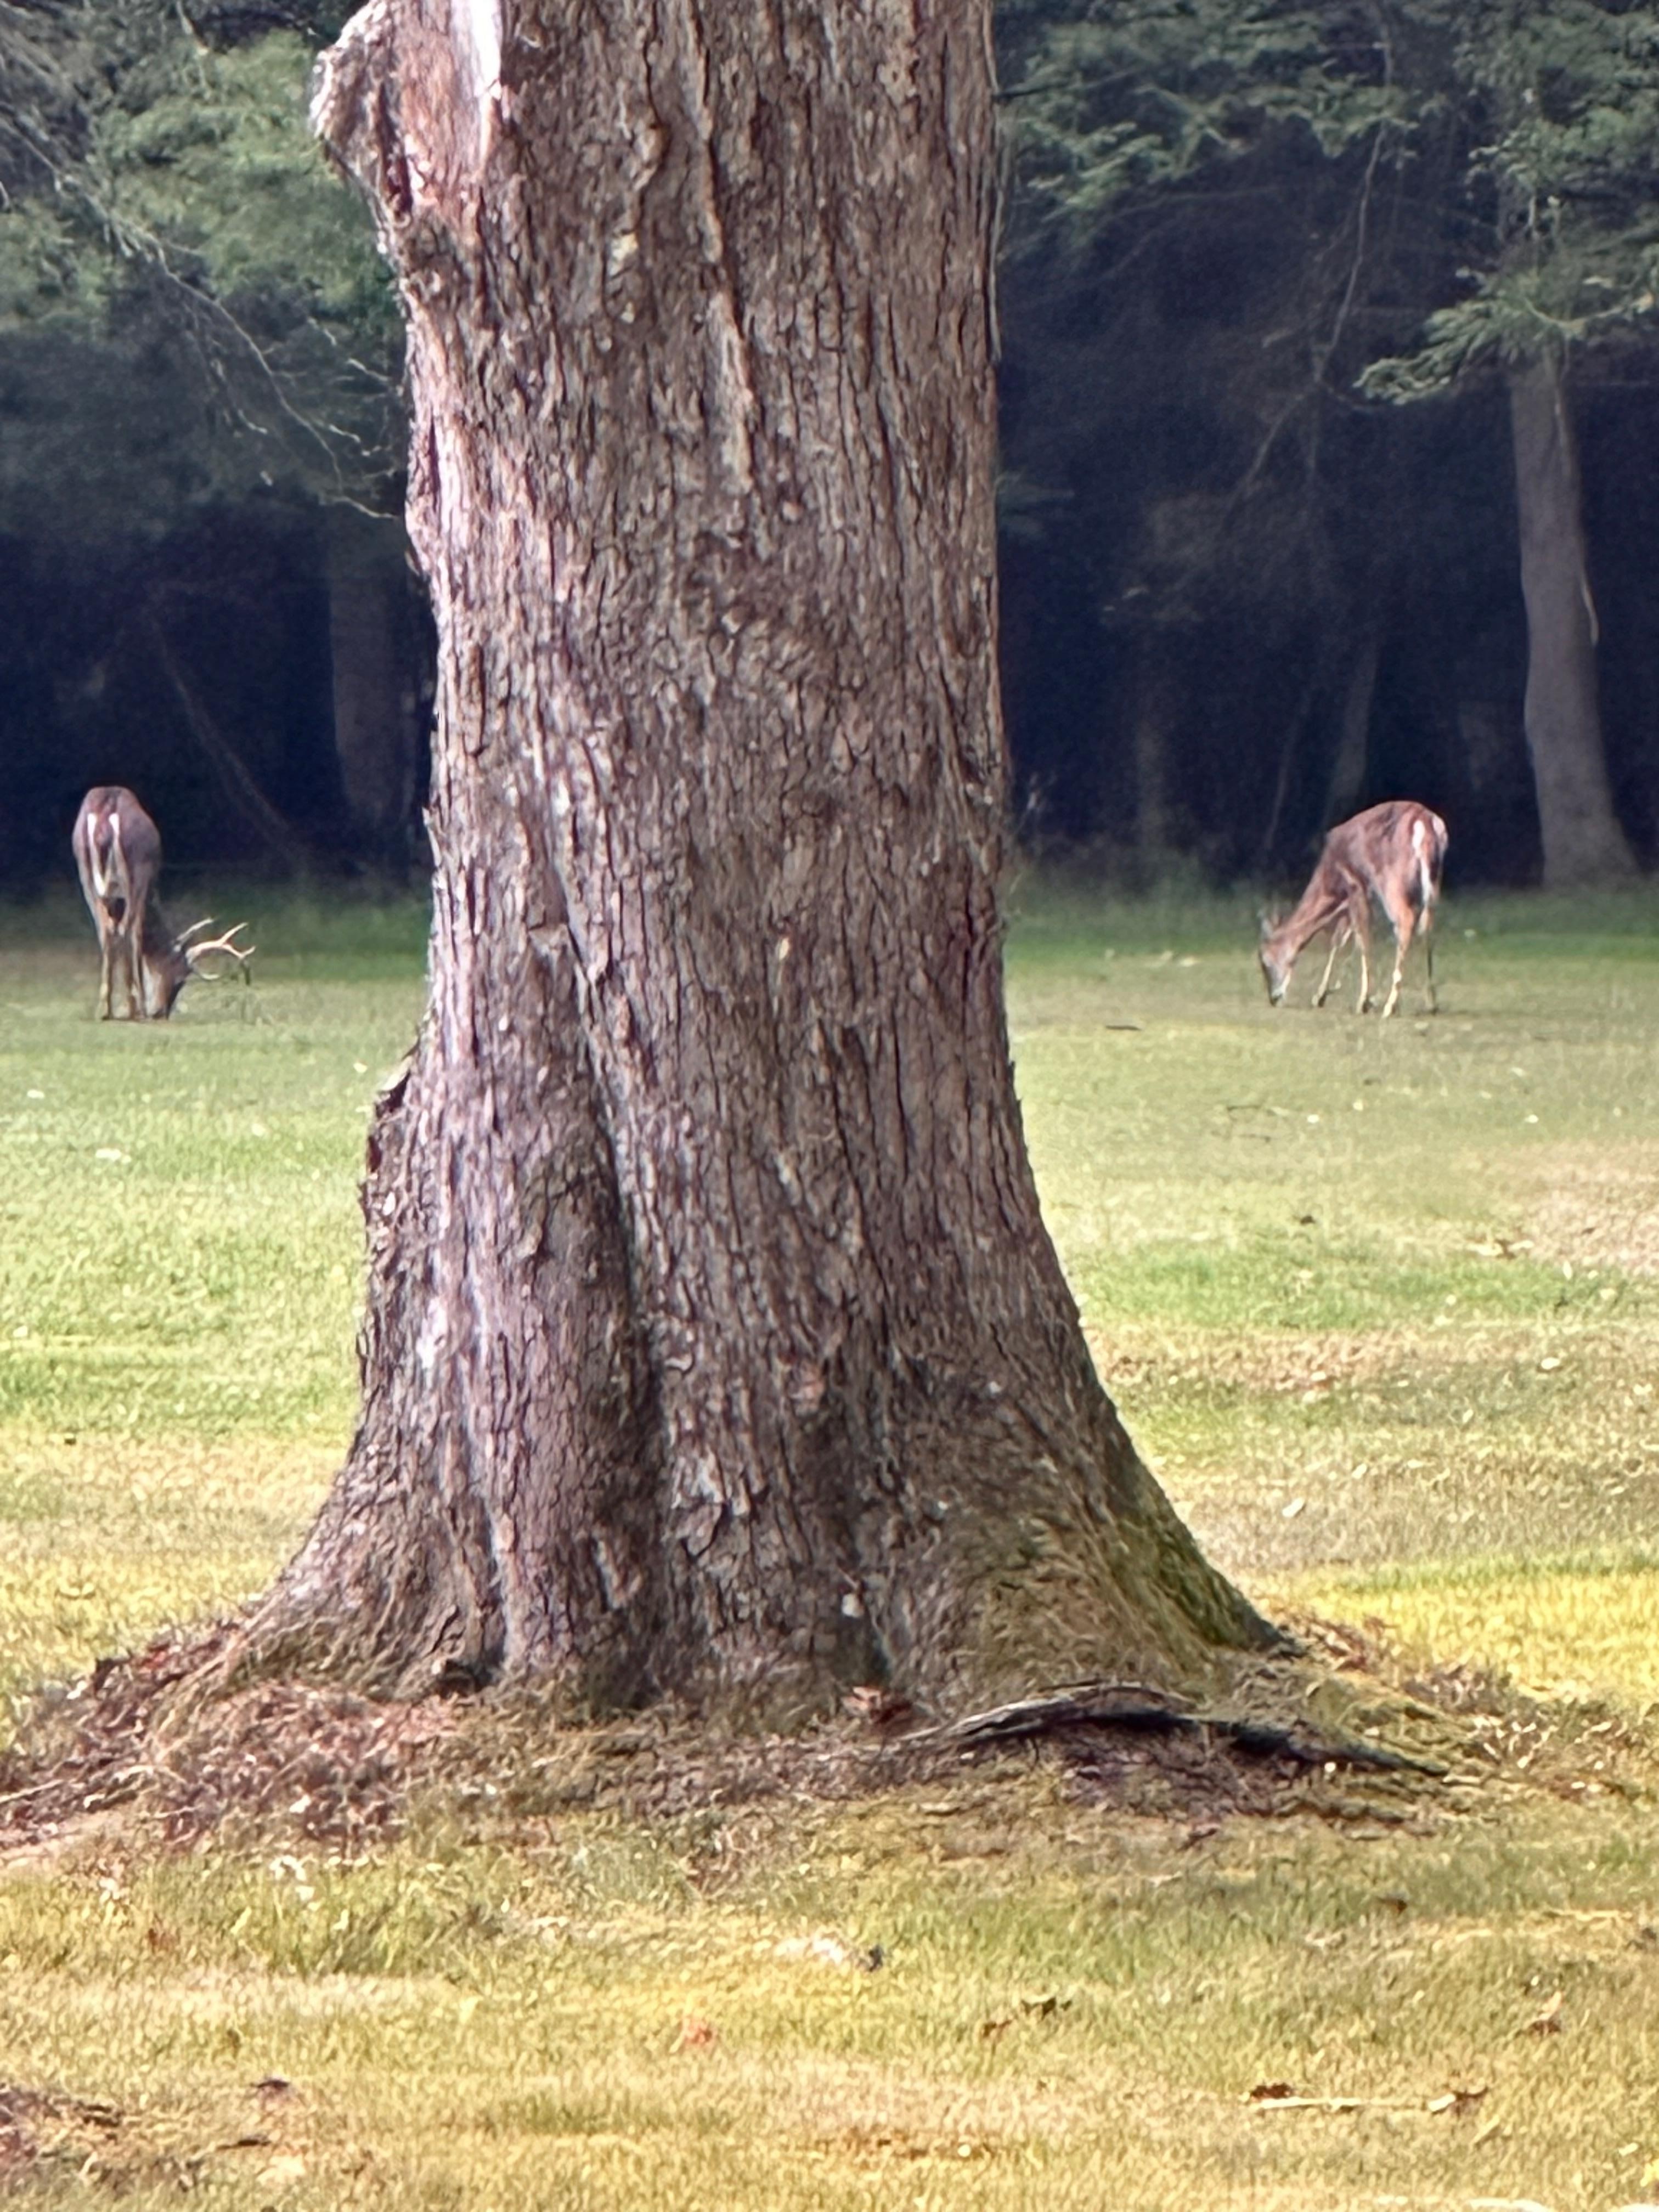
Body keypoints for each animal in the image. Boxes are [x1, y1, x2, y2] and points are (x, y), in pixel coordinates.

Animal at [72, 786, 254, 1020]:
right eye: (181, 979)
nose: (161, 1011)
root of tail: (106, 809)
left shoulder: (113, 898)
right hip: (138, 870)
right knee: (130, 931)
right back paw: (136, 1007)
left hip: (85, 872)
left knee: (106, 931)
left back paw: (105, 1009)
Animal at [1258, 800, 1448, 1021]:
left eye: (1264, 961)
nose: (1273, 998)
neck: (1331, 884)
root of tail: (1425, 822)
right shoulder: (1357, 898)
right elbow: (1343, 939)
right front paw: (1323, 994)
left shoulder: (1355, 883)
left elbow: (1360, 938)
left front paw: (1363, 1001)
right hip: (1433, 882)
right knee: (1428, 927)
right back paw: (1430, 1003)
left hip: (1393, 880)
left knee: (1405, 922)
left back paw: (1391, 1006)